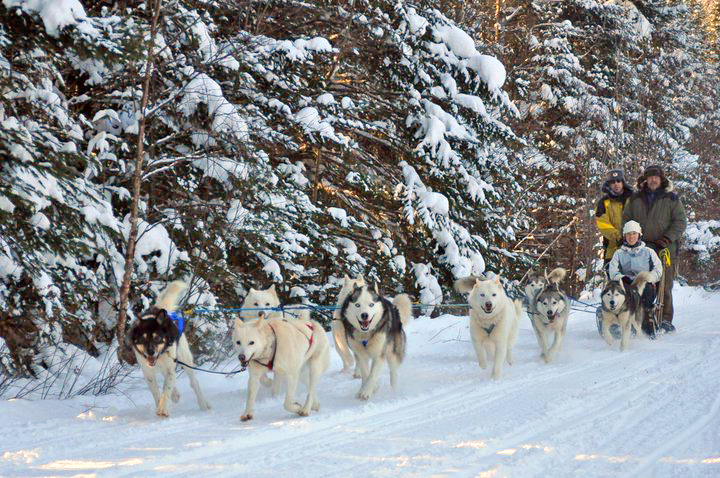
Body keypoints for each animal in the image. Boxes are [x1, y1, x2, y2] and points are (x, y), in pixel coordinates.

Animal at [128, 282, 211, 416]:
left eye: (157, 338)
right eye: (142, 339)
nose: (151, 352)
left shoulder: (169, 367)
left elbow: (166, 389)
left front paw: (163, 409)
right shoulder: (148, 372)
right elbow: (157, 392)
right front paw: (160, 404)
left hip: (184, 359)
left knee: (194, 382)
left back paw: (203, 404)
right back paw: (175, 394)